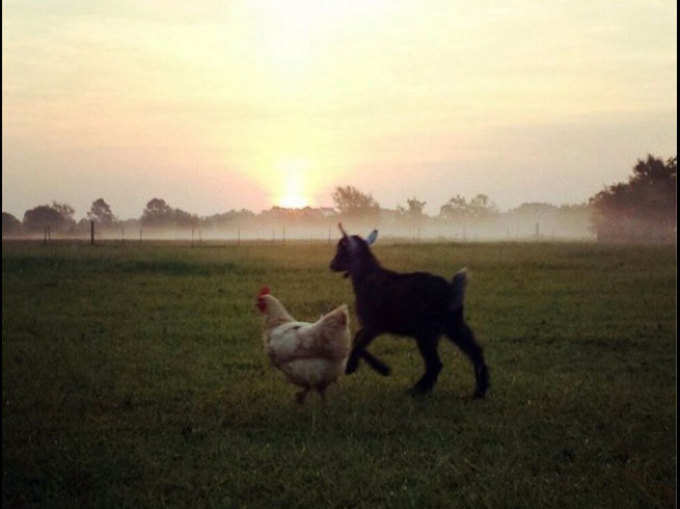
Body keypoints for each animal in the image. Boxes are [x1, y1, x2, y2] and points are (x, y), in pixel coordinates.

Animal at [330, 223, 488, 396]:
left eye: (342, 250)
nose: (332, 265)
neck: (367, 278)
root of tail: (452, 289)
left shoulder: (374, 324)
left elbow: (358, 343)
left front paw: (367, 368)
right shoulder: (372, 325)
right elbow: (357, 340)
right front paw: (375, 367)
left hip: (427, 331)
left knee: (436, 363)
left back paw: (417, 390)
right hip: (453, 325)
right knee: (474, 351)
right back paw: (479, 391)